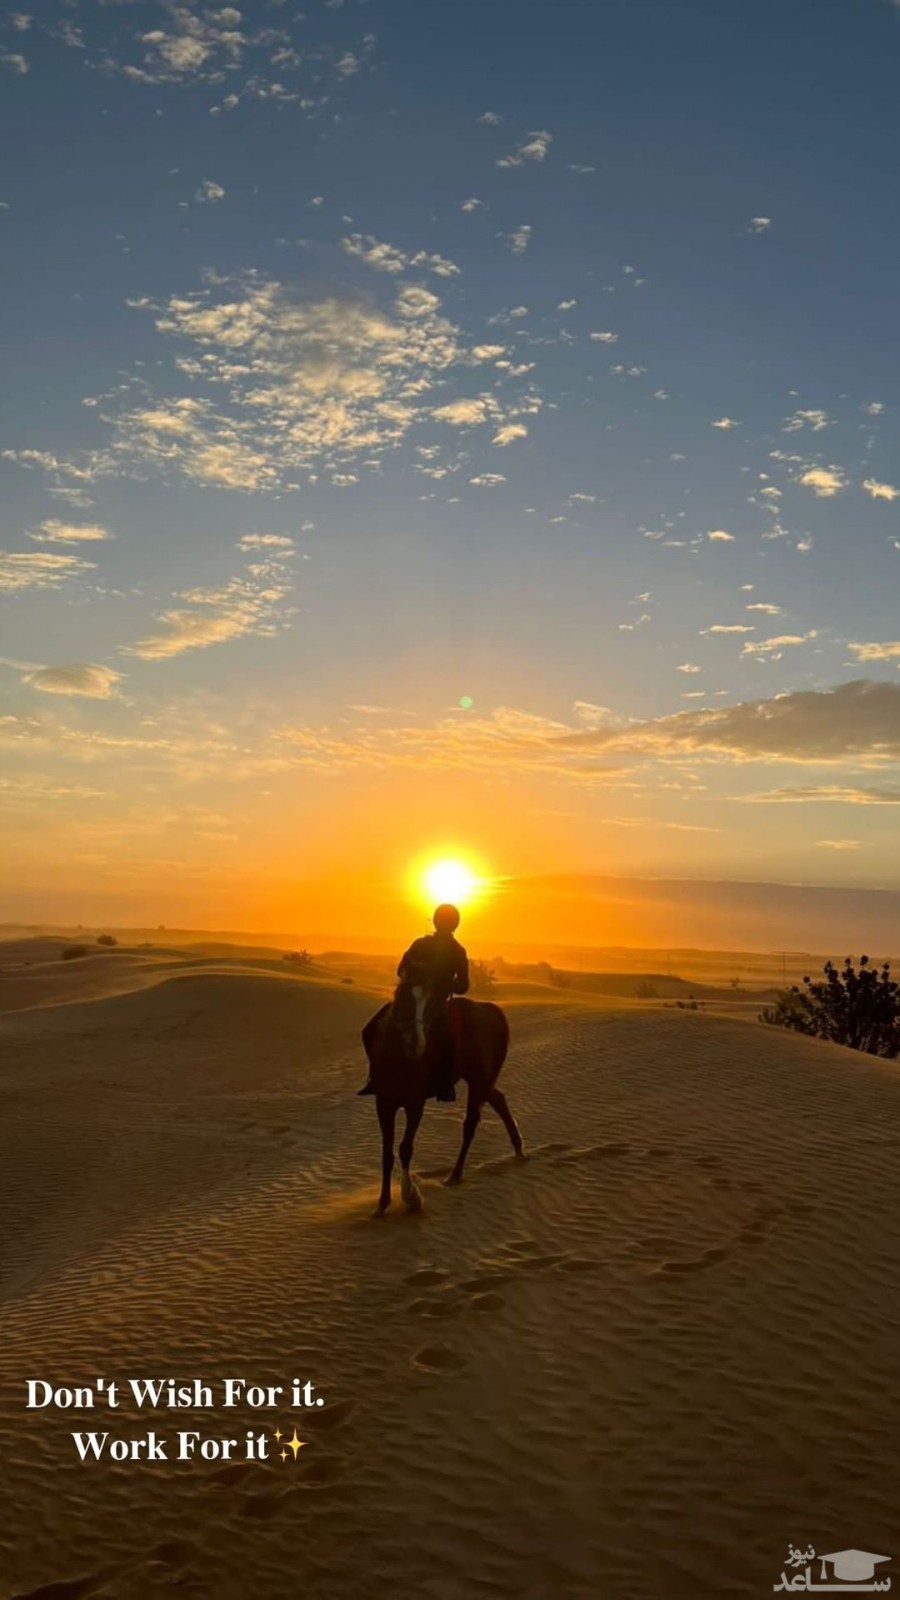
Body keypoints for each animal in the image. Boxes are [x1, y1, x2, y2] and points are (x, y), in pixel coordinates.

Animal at [360, 979, 522, 1216]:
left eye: (433, 1003)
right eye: (405, 998)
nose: (417, 1043)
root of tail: (489, 1010)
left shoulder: (414, 1105)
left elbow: (405, 1149)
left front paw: (411, 1197)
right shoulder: (384, 1104)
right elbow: (386, 1154)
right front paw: (382, 1205)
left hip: (478, 1079)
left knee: (471, 1123)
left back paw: (455, 1175)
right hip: (479, 1079)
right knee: (498, 1099)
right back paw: (518, 1149)